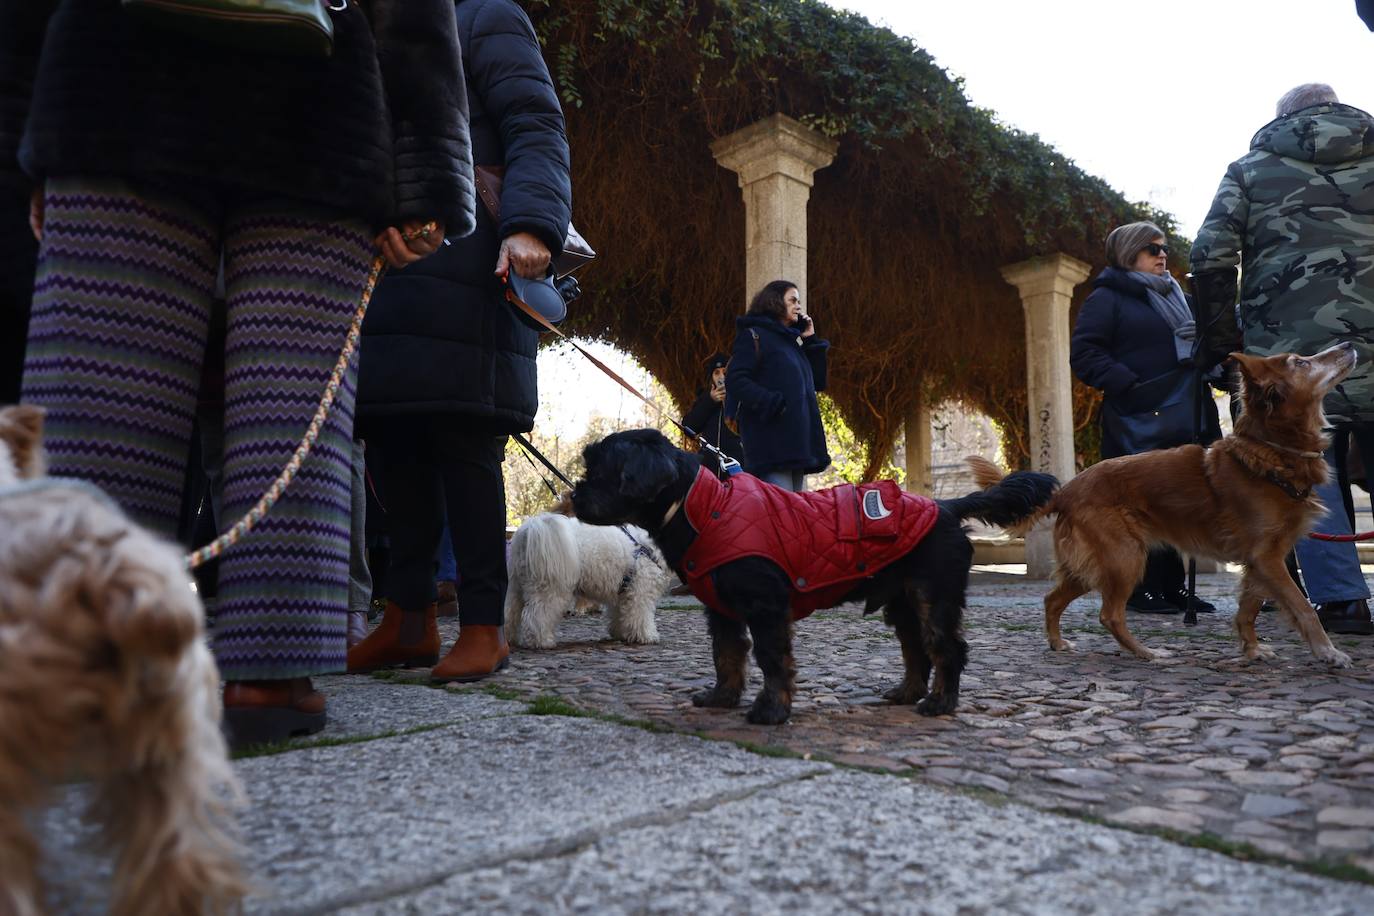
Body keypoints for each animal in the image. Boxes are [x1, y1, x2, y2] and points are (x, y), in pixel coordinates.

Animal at [508, 513, 673, 648]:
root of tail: (530, 530)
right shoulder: (640, 593)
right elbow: (641, 616)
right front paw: (647, 636)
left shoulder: (623, 593)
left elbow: (620, 615)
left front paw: (620, 633)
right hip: (550, 589)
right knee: (537, 616)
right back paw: (542, 641)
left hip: (517, 587)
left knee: (511, 614)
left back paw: (511, 640)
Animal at [571, 428, 1060, 725]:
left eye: (600, 472)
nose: (573, 494)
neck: (705, 507)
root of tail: (946, 506)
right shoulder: (722, 613)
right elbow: (726, 656)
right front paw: (722, 698)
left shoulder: (766, 609)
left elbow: (772, 660)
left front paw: (771, 710)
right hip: (902, 605)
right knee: (915, 651)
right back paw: (906, 692)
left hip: (932, 598)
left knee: (947, 649)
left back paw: (940, 702)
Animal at [983, 343, 1357, 667]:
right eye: (1300, 362)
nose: (1348, 344)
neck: (1272, 454)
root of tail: (1068, 489)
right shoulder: (1267, 557)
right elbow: (1302, 606)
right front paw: (1328, 652)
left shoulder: (1261, 562)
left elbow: (1248, 610)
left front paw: (1251, 650)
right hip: (1125, 557)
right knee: (1109, 615)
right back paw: (1147, 653)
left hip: (1092, 565)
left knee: (1052, 599)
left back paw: (1058, 642)